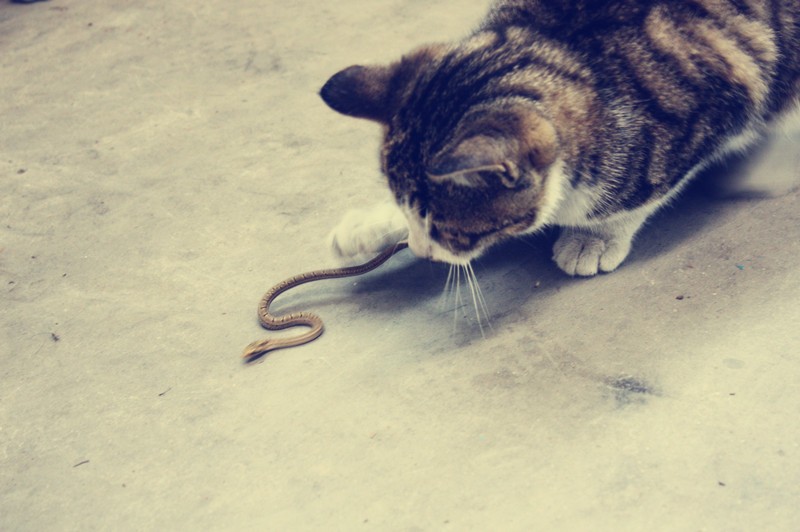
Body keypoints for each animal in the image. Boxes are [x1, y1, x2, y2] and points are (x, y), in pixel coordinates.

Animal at [321, 0, 800, 276]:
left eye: (449, 231)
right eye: (408, 212)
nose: (421, 253)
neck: (564, 47)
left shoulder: (709, 108)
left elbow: (638, 192)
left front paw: (594, 237)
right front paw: (372, 223)